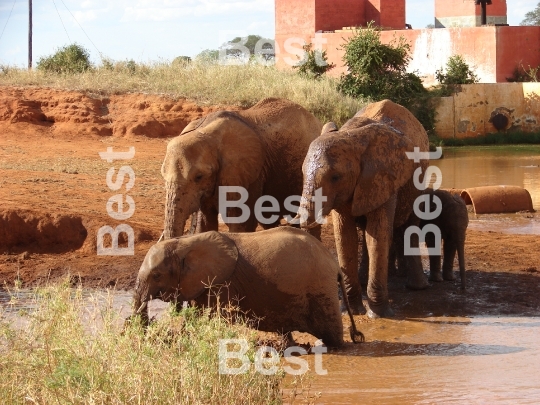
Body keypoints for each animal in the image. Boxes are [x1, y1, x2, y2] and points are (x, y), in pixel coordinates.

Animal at [298, 99, 428, 318]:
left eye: (335, 177)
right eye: (302, 172)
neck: (351, 135)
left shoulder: (384, 176)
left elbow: (377, 234)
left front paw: (380, 314)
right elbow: (346, 236)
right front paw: (351, 311)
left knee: (409, 225)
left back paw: (416, 287)